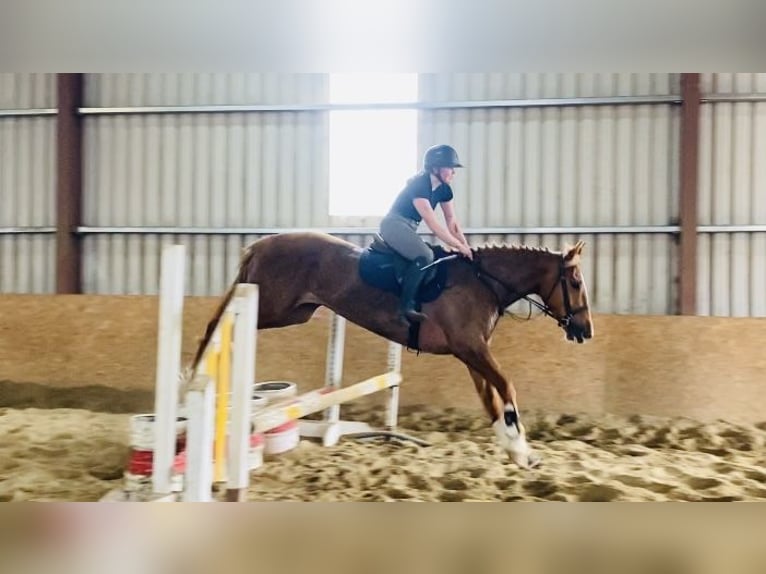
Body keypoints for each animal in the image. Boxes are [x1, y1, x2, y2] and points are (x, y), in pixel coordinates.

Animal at [190, 232, 592, 470]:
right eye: (574, 282)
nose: (585, 330)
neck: (484, 282)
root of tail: (260, 245)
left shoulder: (471, 352)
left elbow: (491, 399)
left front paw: (517, 451)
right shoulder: (472, 348)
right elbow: (506, 388)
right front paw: (520, 443)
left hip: (293, 312)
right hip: (272, 306)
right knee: (217, 322)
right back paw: (195, 375)